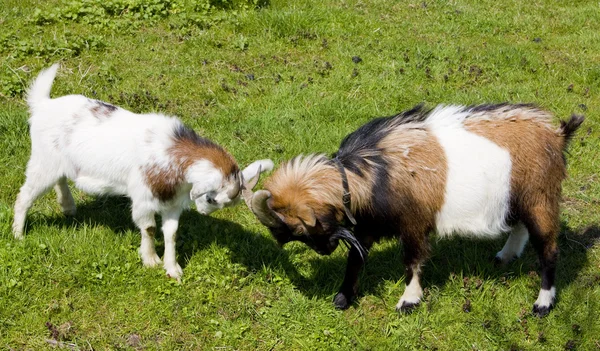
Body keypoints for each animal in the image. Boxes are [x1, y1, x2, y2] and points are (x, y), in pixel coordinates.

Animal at [12, 64, 274, 280]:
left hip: (58, 163)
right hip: (43, 162)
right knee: (25, 196)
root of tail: (43, 106)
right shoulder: (144, 198)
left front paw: (173, 269)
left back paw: (67, 207)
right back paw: (18, 235)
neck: (172, 152)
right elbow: (148, 228)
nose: (204, 212)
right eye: (211, 198)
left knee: (60, 180)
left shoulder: (173, 202)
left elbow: (171, 233)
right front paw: (150, 260)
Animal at [243, 103, 580, 318]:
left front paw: (408, 301)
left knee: (549, 249)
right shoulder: (366, 227)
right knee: (521, 226)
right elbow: (355, 261)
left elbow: (412, 261)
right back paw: (505, 256)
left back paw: (542, 304)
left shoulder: (414, 224)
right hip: (519, 197)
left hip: (541, 196)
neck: (371, 173)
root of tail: (558, 133)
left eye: (301, 229)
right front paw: (343, 297)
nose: (325, 250)